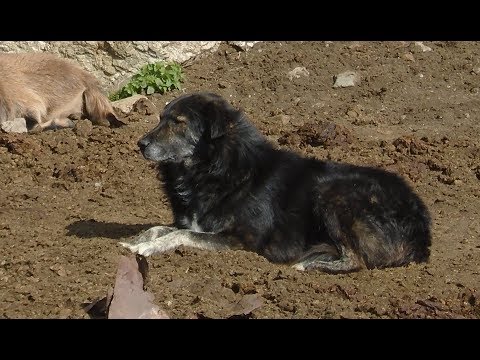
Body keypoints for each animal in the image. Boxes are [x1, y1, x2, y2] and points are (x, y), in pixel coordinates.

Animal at [122, 92, 434, 272]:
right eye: (160, 118)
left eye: (178, 122)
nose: (140, 144)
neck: (214, 170)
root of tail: (422, 230)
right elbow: (159, 228)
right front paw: (133, 241)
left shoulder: (242, 239)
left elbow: (181, 235)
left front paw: (146, 249)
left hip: (333, 192)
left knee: (358, 261)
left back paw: (306, 266)